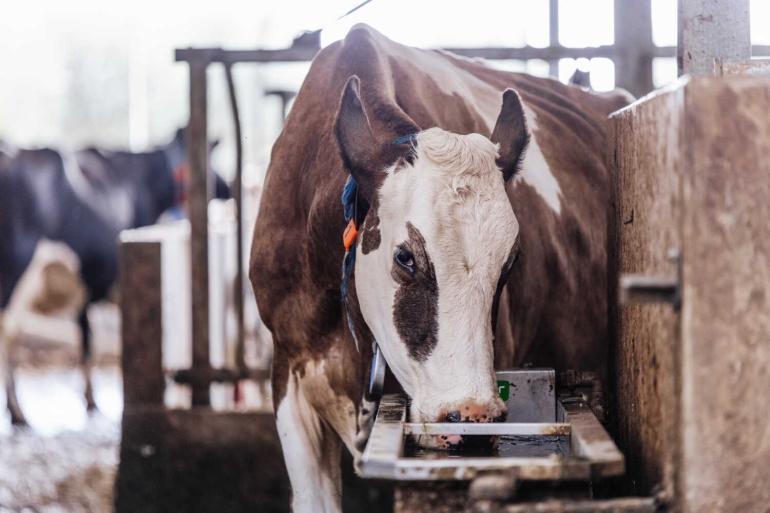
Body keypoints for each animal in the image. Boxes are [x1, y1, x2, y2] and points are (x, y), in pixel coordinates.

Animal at [0, 129, 229, 425]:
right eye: (211, 163)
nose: (227, 188)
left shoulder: (85, 285)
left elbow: (87, 337)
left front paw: (90, 398)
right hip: (17, 270)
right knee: (7, 331)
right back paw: (17, 410)